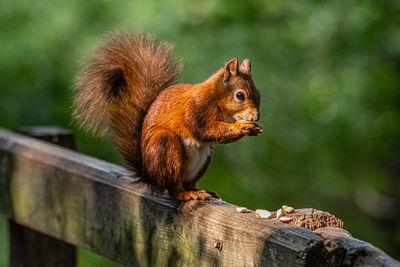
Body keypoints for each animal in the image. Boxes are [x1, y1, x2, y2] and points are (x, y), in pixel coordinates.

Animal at [73, 32, 260, 201]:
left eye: (258, 94)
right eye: (240, 95)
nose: (255, 117)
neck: (216, 97)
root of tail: (150, 176)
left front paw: (253, 128)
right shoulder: (197, 109)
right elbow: (205, 130)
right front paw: (241, 127)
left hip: (203, 158)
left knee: (188, 183)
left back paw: (200, 191)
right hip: (167, 148)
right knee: (173, 188)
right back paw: (187, 194)